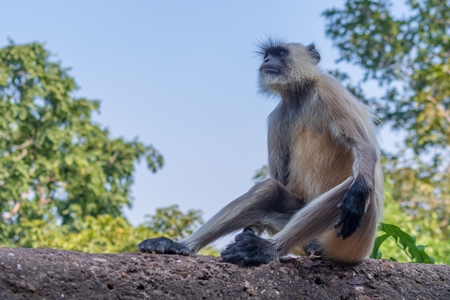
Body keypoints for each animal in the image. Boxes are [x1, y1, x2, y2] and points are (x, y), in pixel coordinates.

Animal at [137, 39, 384, 268]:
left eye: (280, 53)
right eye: (267, 54)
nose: (266, 60)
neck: (300, 96)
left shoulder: (330, 90)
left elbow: (363, 147)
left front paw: (357, 191)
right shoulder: (277, 117)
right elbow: (279, 178)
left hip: (351, 240)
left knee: (354, 186)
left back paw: (266, 249)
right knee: (269, 189)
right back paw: (182, 246)